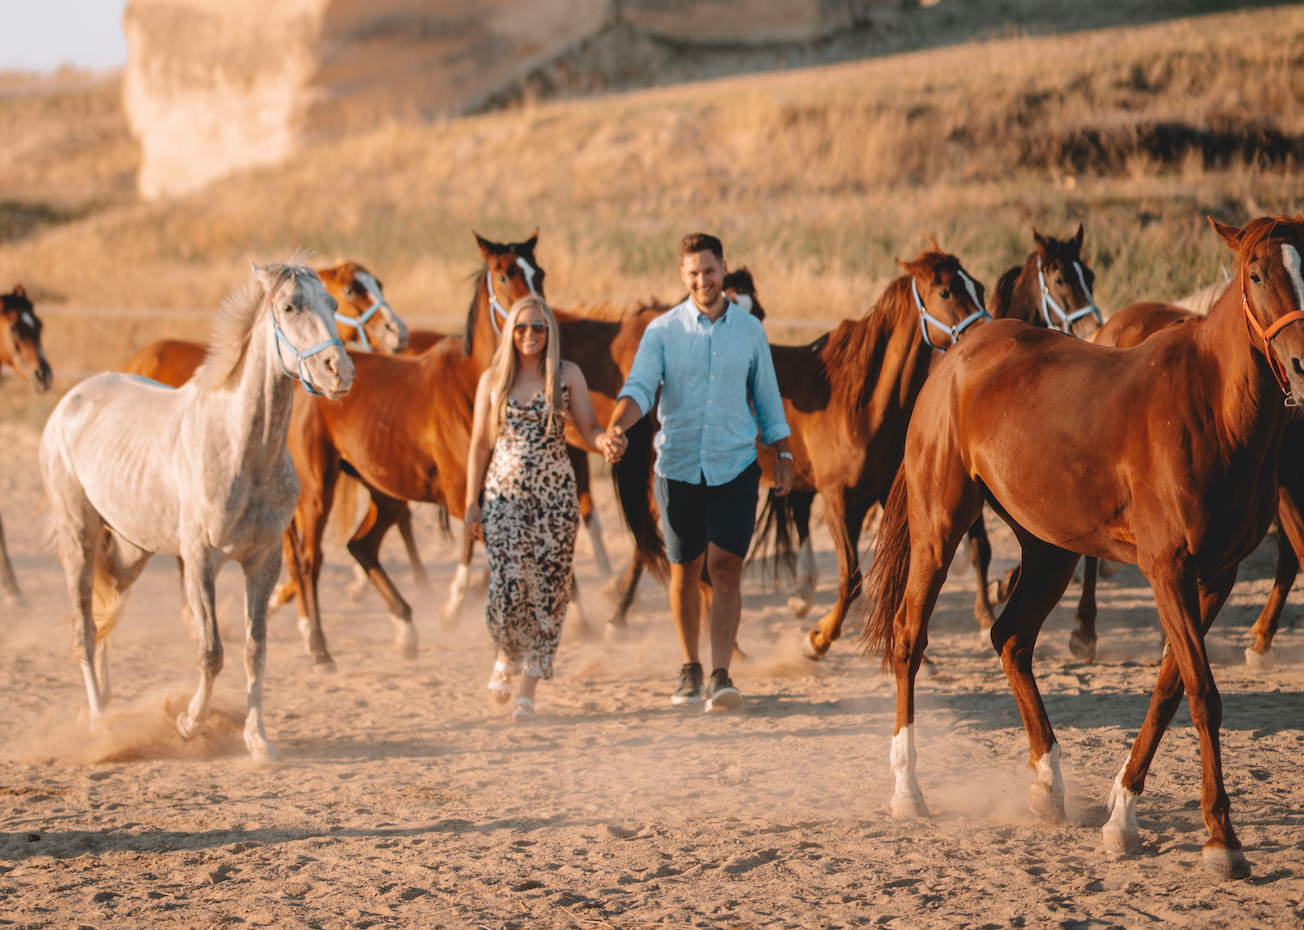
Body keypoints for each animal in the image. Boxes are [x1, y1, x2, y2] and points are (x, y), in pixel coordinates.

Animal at [40, 260, 353, 763]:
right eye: (290, 307)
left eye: (335, 303)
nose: (340, 371)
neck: (243, 450)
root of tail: (71, 400)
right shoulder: (200, 561)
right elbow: (211, 651)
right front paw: (188, 723)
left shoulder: (263, 562)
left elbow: (254, 650)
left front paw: (257, 741)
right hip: (79, 539)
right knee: (84, 628)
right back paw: (100, 724)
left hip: (130, 550)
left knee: (108, 617)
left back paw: (105, 706)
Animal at [280, 233, 543, 668]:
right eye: (504, 276)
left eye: (539, 272)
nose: (537, 322)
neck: (474, 387)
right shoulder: (461, 496)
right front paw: (452, 610)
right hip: (317, 490)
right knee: (308, 560)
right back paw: (318, 646)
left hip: (384, 492)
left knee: (361, 546)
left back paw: (405, 627)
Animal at [614, 246, 992, 659]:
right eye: (946, 292)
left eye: (980, 287)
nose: (986, 333)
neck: (861, 403)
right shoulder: (836, 497)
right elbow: (851, 577)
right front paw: (818, 639)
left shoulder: (880, 495)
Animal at [861, 215, 1304, 880]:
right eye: (1256, 273)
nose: (1303, 365)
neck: (1212, 411)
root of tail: (955, 356)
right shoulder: (1168, 571)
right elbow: (1202, 694)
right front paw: (1222, 839)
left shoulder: (1214, 578)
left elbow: (1169, 689)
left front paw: (1122, 816)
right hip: (940, 527)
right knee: (910, 638)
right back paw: (908, 790)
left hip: (1051, 550)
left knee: (1011, 638)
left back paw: (1048, 785)